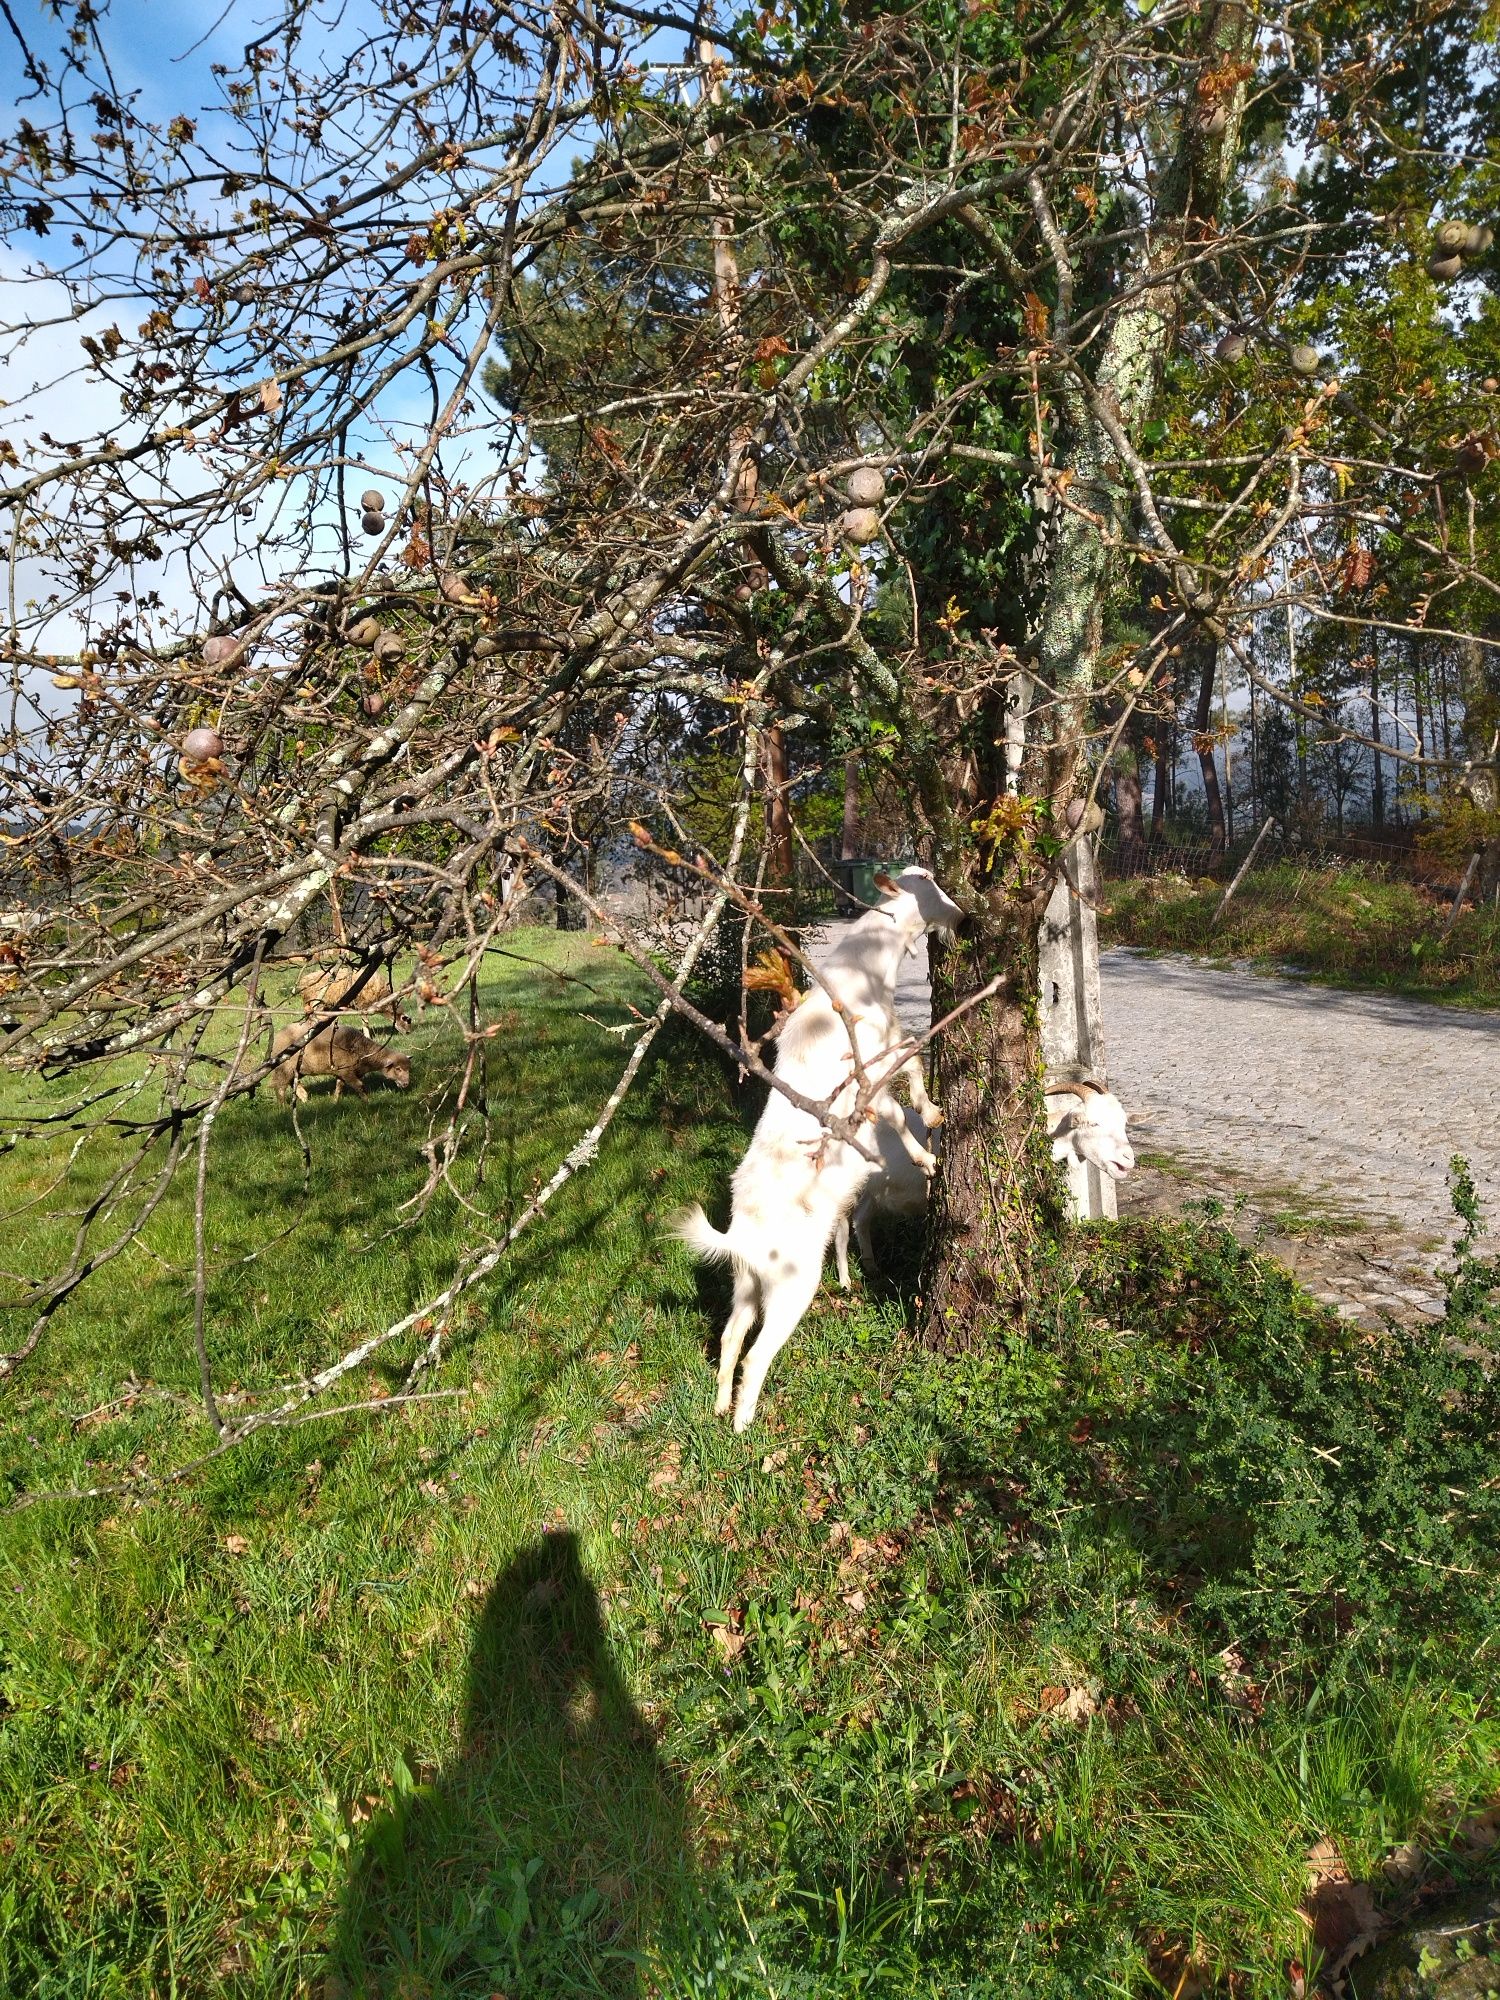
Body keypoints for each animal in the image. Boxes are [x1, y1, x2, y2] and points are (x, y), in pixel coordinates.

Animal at [272, 1024, 414, 1104]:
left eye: (409, 1069)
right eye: (398, 1069)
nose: (406, 1084)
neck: (362, 1050)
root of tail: (278, 1036)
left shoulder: (342, 1072)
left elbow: (339, 1087)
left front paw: (335, 1102)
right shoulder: (347, 1072)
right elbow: (359, 1086)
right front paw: (368, 1102)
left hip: (298, 1069)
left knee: (292, 1082)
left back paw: (303, 1097)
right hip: (284, 1067)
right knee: (280, 1087)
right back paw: (283, 1107)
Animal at [672, 868, 964, 1432]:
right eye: (926, 884)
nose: (961, 915)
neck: (863, 975)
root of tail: (741, 1238)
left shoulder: (893, 1042)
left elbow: (916, 1055)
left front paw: (933, 1111)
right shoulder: (870, 1072)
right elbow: (896, 1111)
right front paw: (926, 1156)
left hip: (746, 1287)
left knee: (730, 1337)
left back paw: (719, 1406)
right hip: (792, 1286)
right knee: (757, 1355)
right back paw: (742, 1424)